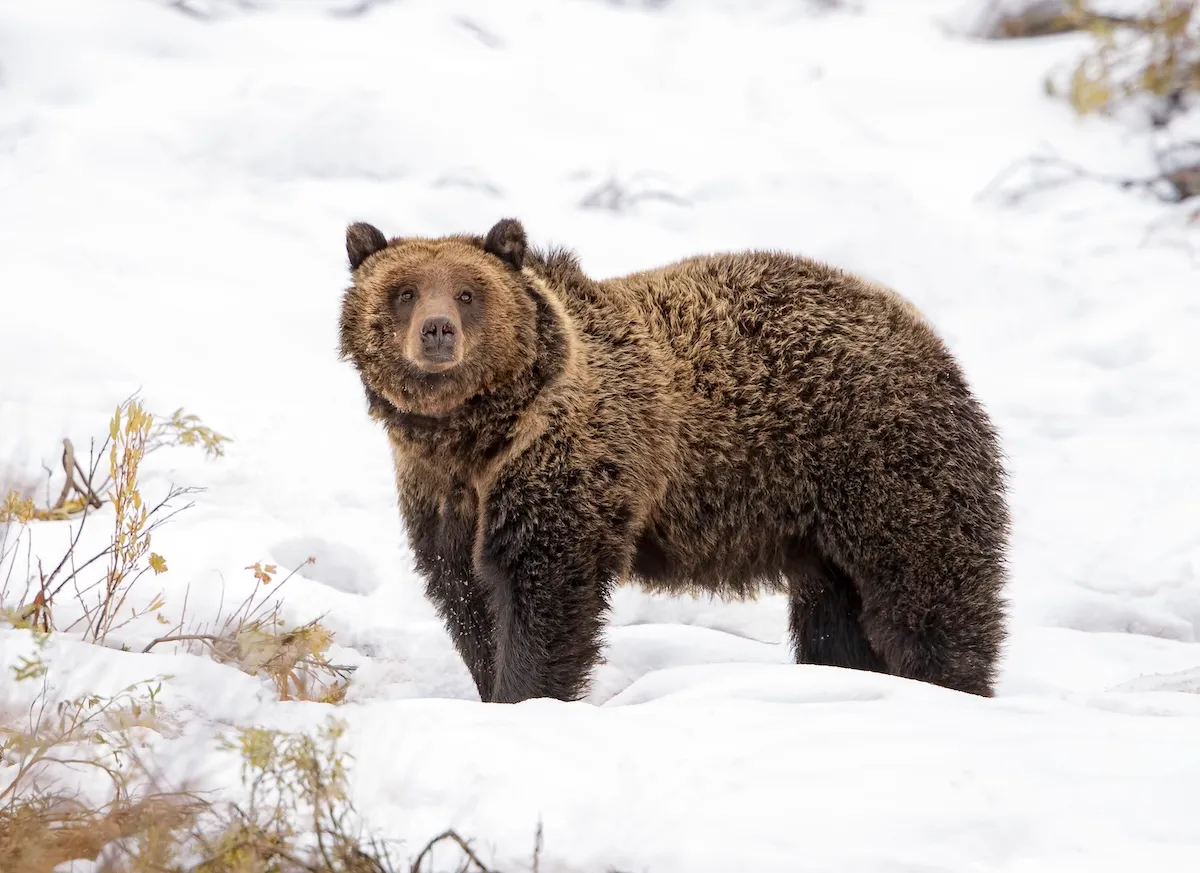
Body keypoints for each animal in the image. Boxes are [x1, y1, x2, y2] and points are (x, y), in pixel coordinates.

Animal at [338, 217, 1011, 703]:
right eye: (403, 292)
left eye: (468, 292)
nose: (438, 331)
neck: (474, 436)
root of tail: (917, 325)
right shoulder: (444, 493)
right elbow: (464, 593)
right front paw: (490, 683)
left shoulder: (561, 467)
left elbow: (544, 593)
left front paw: (524, 694)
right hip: (820, 527)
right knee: (836, 617)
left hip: (882, 461)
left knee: (925, 591)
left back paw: (949, 687)